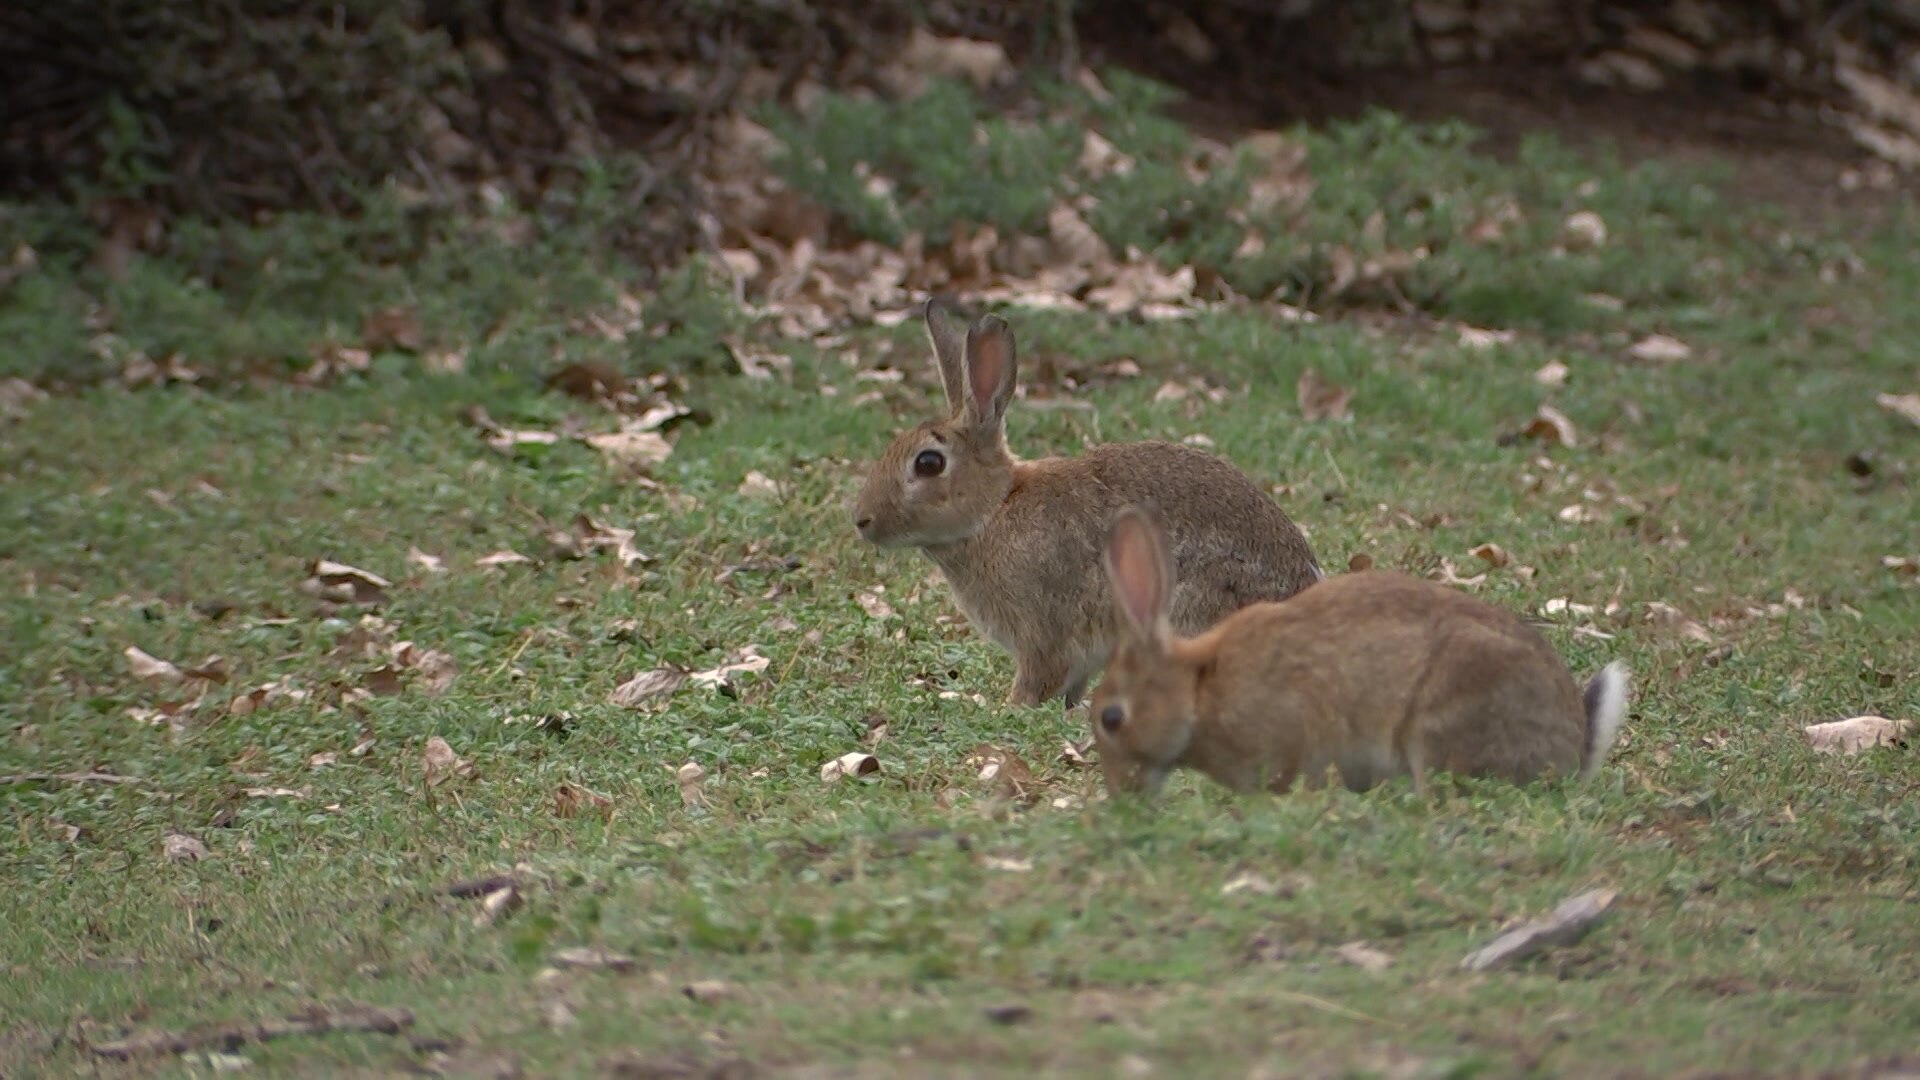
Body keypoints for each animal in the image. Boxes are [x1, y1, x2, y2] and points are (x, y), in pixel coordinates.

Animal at [851, 297, 1323, 710]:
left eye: (929, 463)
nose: (861, 520)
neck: (995, 509)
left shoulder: (1044, 633)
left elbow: (1038, 679)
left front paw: (1007, 708)